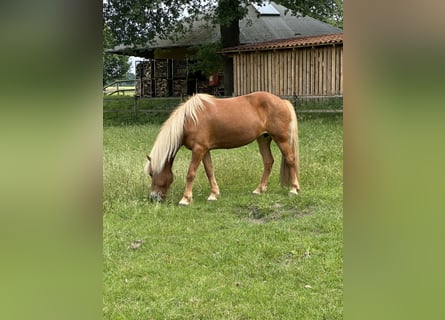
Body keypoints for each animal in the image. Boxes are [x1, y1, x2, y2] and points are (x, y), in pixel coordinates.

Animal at [144, 90, 300, 205]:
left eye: (152, 173)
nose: (153, 198)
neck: (189, 120)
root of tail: (282, 101)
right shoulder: (205, 150)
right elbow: (209, 171)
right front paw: (214, 195)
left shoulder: (198, 149)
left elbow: (191, 173)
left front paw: (185, 199)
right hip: (263, 139)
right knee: (268, 161)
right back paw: (259, 190)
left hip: (281, 139)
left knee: (290, 159)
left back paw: (294, 189)